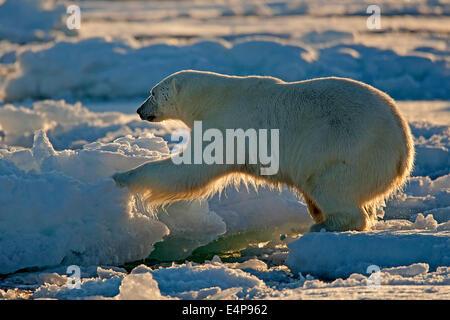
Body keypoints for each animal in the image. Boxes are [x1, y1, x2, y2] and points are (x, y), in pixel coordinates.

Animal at [115, 70, 414, 231]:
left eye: (152, 93)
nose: (139, 110)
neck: (212, 98)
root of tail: (404, 150)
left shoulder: (226, 125)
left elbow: (190, 169)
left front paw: (122, 176)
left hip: (346, 146)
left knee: (328, 183)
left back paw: (324, 222)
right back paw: (316, 211)